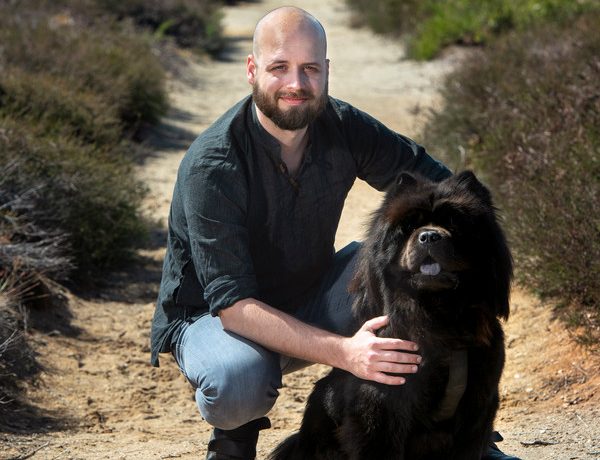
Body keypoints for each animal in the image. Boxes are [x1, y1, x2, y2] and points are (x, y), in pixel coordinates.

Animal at [270, 171, 512, 458]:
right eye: (408, 227)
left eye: (453, 223)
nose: (429, 236)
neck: (440, 316)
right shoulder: (382, 404)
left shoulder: (479, 400)